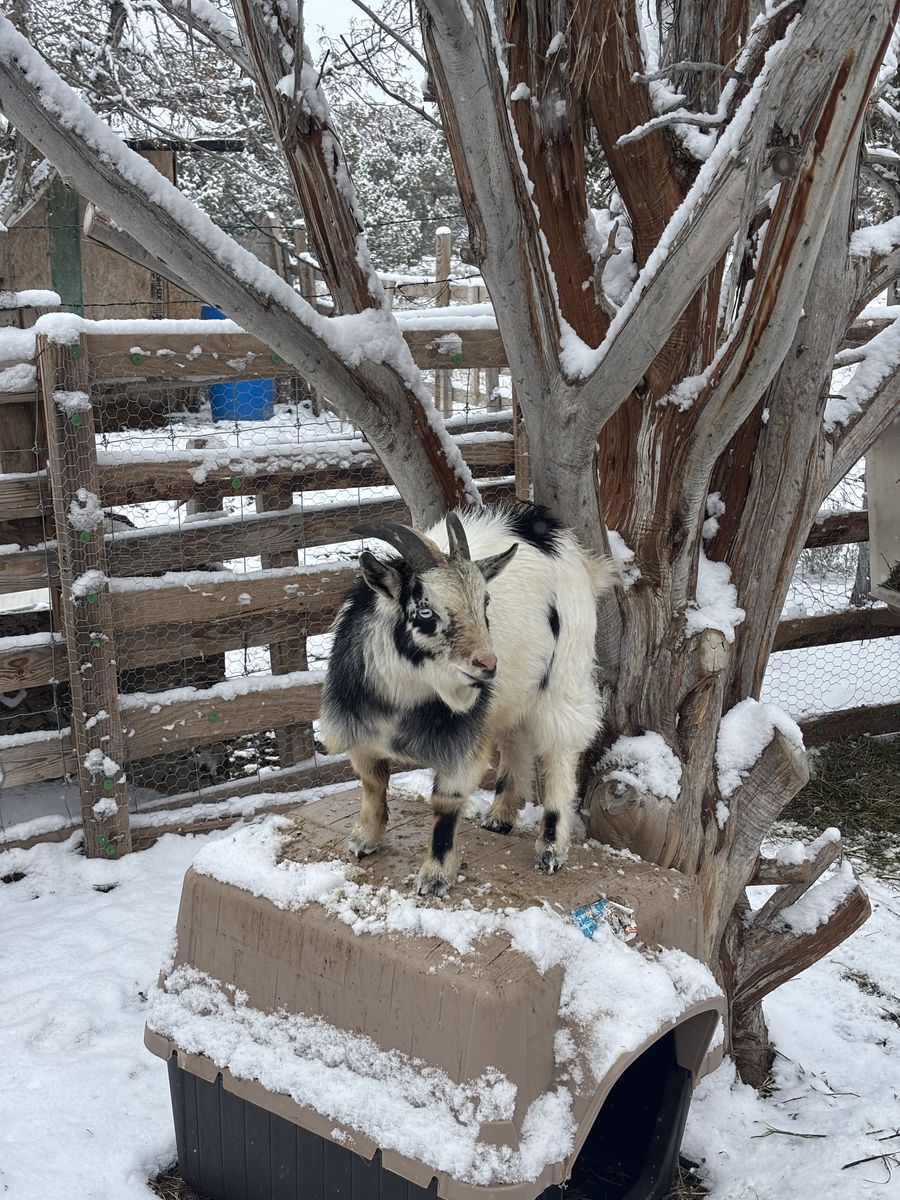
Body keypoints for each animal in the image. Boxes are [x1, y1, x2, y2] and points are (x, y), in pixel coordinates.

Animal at [318, 503, 617, 896]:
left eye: (485, 601)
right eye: (425, 609)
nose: (488, 664)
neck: (405, 699)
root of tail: (565, 545)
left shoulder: (462, 738)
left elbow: (446, 802)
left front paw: (434, 876)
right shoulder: (359, 729)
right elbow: (372, 780)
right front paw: (363, 840)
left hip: (564, 676)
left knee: (560, 752)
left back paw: (551, 849)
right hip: (510, 692)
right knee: (514, 739)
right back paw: (500, 816)